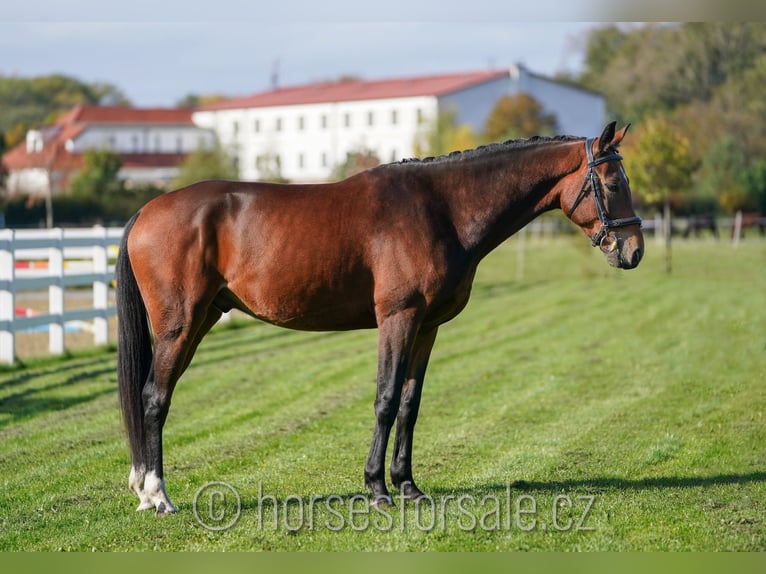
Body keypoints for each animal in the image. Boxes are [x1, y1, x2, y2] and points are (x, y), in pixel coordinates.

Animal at [118, 119, 648, 516]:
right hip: (180, 325)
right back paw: (157, 496)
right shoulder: (399, 318)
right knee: (154, 398)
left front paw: (408, 485)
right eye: (612, 182)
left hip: (202, 318)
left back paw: (144, 488)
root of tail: (146, 209)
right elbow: (386, 399)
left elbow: (411, 404)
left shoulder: (427, 327)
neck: (441, 209)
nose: (634, 251)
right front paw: (377, 488)